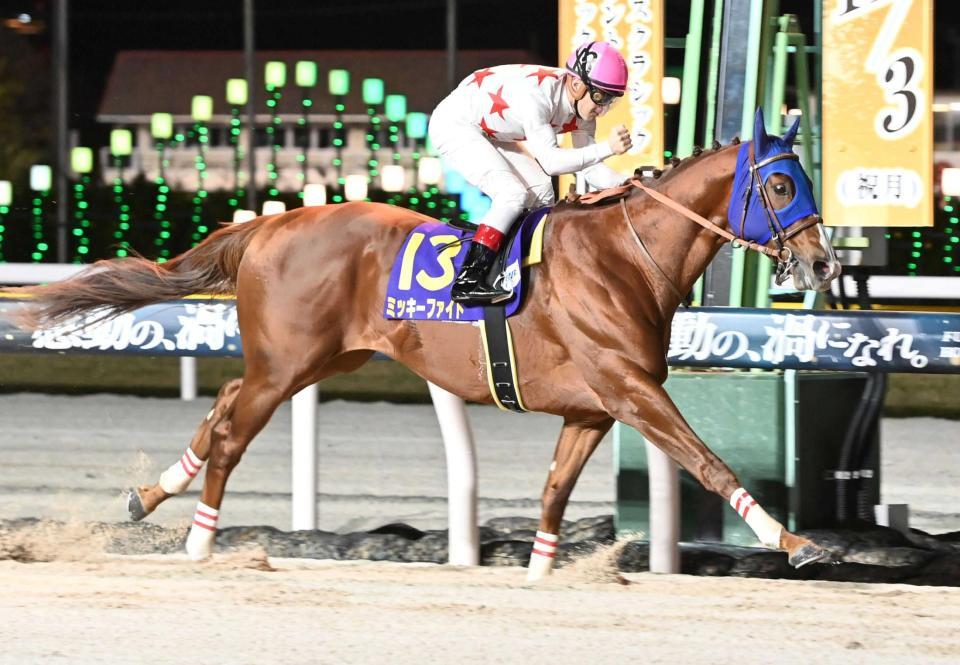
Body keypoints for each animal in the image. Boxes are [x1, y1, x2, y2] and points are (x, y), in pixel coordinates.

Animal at [5, 109, 840, 579]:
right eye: (780, 185)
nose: (825, 261)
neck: (622, 256)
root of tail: (270, 224)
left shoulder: (593, 406)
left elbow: (554, 489)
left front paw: (539, 571)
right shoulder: (631, 388)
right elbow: (707, 458)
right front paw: (796, 542)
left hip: (314, 357)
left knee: (223, 408)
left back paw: (150, 494)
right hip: (287, 362)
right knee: (234, 431)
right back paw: (201, 543)